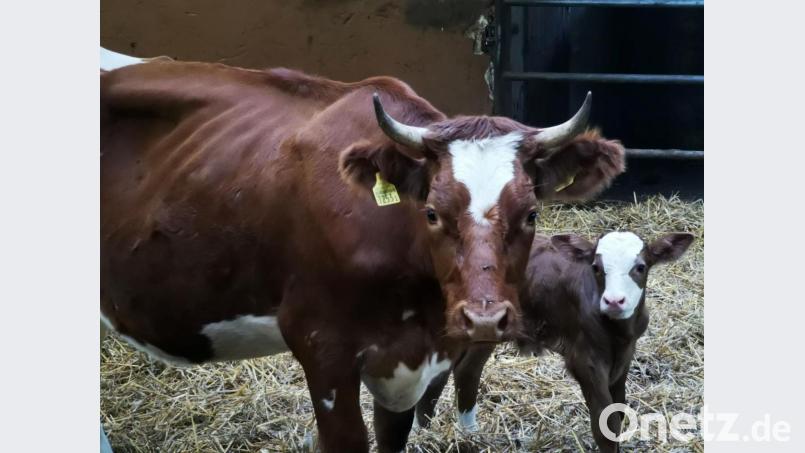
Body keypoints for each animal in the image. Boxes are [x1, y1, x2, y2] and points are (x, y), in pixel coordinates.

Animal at [414, 231, 694, 452]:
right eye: (596, 267)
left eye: (641, 267)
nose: (614, 301)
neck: (616, 330)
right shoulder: (585, 359)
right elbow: (605, 424)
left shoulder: (624, 355)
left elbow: (618, 413)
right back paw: (423, 435)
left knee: (466, 370)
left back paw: (468, 435)